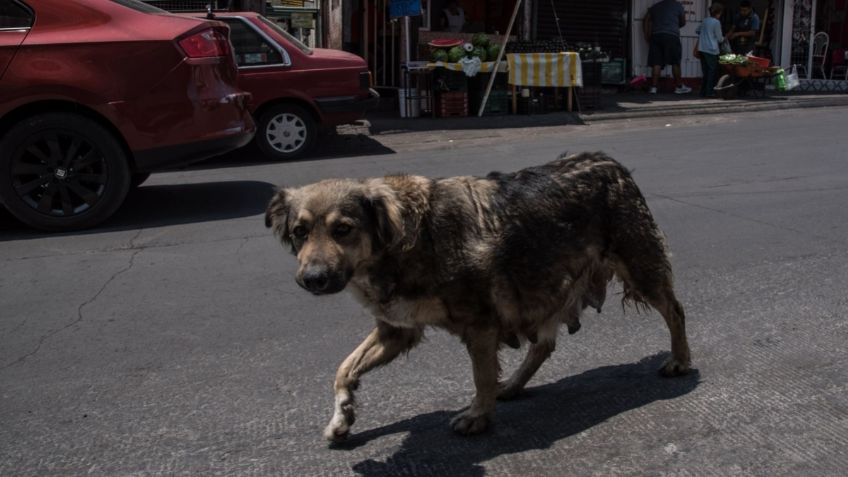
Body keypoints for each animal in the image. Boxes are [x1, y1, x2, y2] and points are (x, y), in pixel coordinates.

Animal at [266, 151, 696, 440]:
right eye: (301, 232)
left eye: (343, 229)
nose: (313, 279)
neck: (404, 238)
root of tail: (610, 162)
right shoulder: (396, 330)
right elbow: (344, 369)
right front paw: (342, 415)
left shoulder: (480, 324)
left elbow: (481, 375)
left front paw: (478, 415)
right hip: (542, 286)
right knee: (544, 345)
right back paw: (515, 385)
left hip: (640, 268)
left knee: (675, 310)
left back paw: (680, 359)